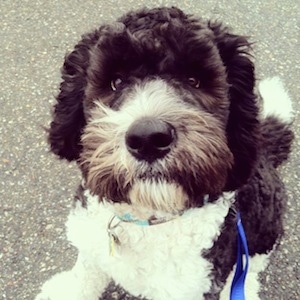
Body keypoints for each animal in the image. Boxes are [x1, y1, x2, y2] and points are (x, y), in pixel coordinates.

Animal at [34, 5, 292, 298]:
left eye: (194, 81)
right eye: (116, 81)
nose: (148, 138)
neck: (146, 219)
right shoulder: (91, 237)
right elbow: (87, 268)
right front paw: (69, 288)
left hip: (264, 228)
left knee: (250, 266)